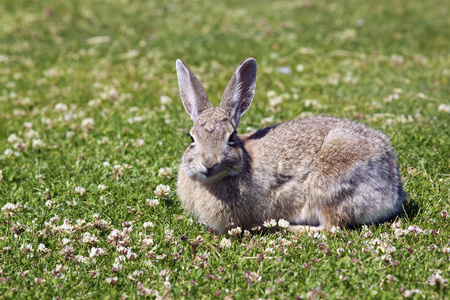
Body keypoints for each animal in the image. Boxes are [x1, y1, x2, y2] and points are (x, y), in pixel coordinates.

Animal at [176, 56, 408, 234]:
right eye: (191, 138)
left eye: (231, 137)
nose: (208, 163)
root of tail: (393, 192)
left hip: (329, 186)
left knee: (331, 227)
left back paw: (289, 228)